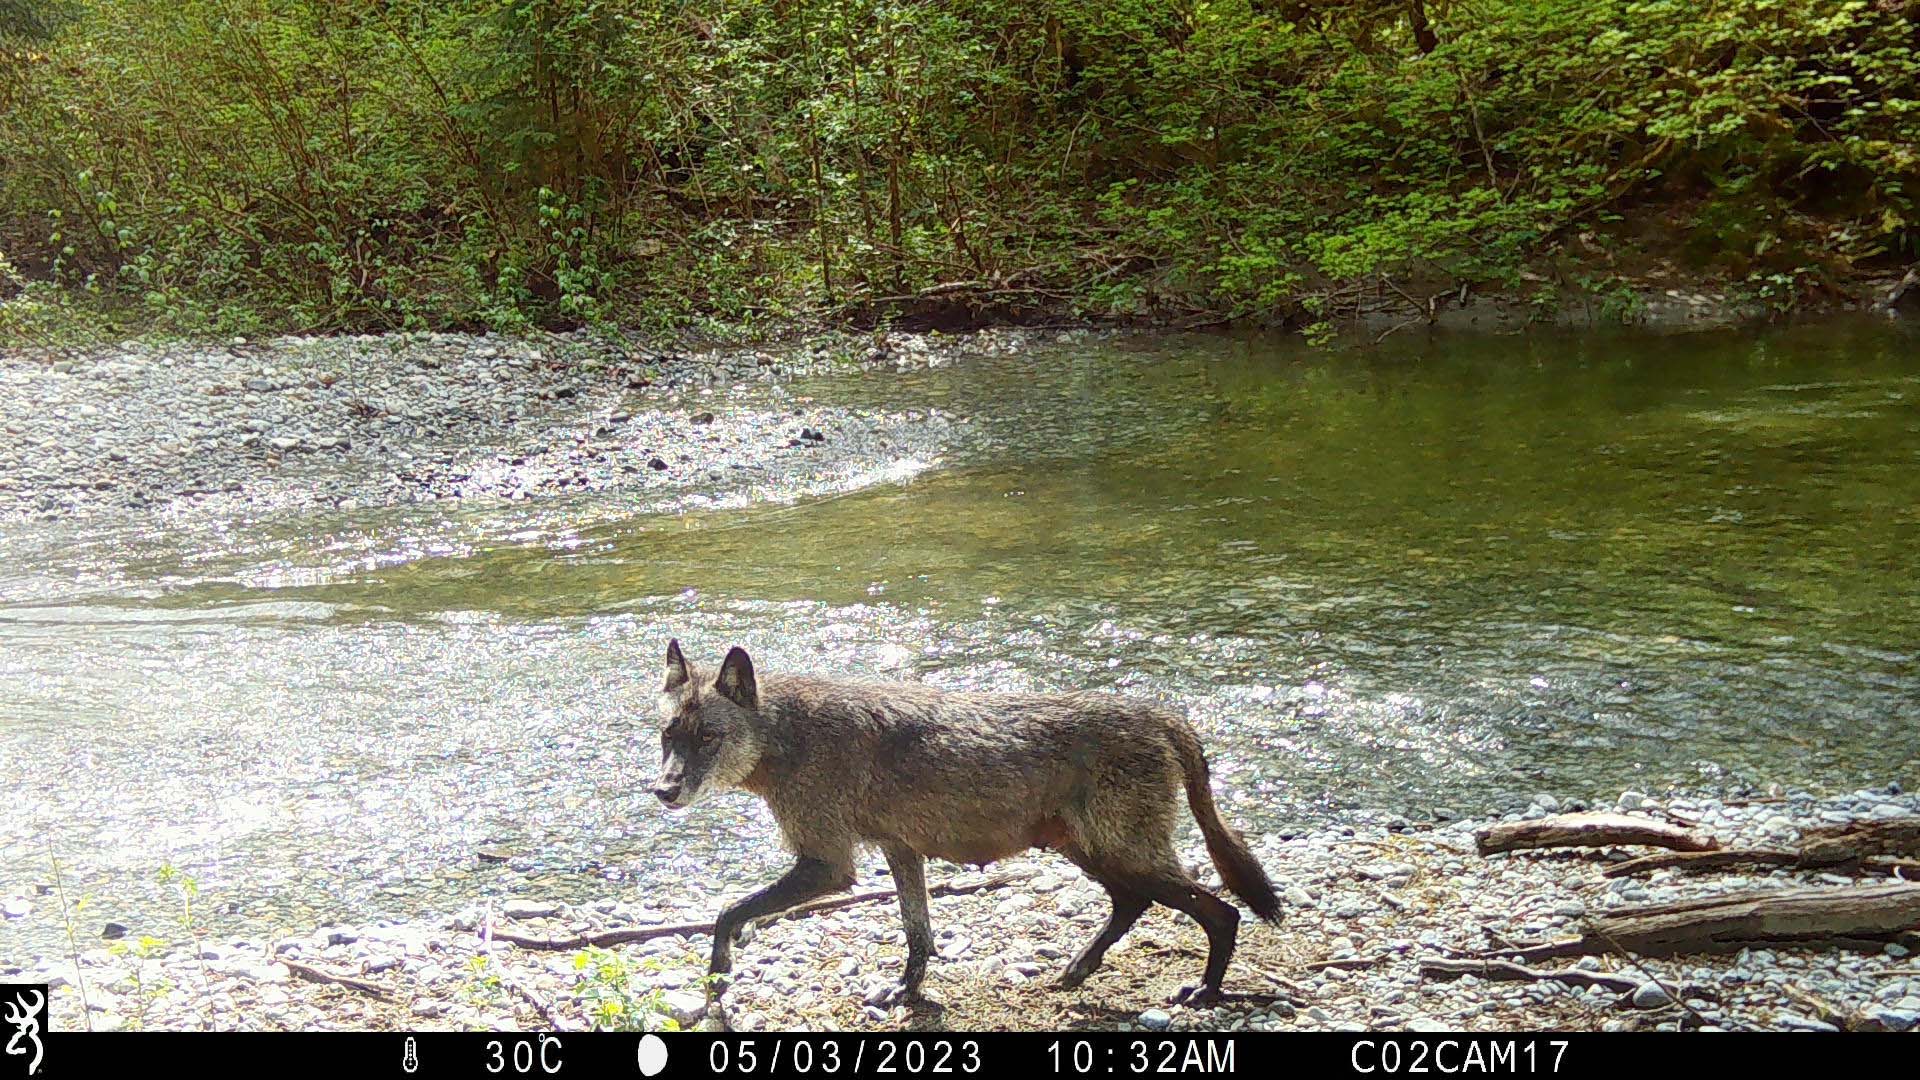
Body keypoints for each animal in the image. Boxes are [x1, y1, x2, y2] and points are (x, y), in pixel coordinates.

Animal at [650, 639, 1281, 1008]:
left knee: (1220, 913)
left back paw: (1204, 992)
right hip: (1092, 853)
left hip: (1121, 854)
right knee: (1134, 903)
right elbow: (918, 934)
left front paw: (718, 978)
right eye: (668, 736)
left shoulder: (828, 868)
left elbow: (726, 914)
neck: (787, 735)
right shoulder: (899, 851)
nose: (663, 791)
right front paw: (906, 993)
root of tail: (1163, 714)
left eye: (708, 738)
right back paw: (1076, 971)